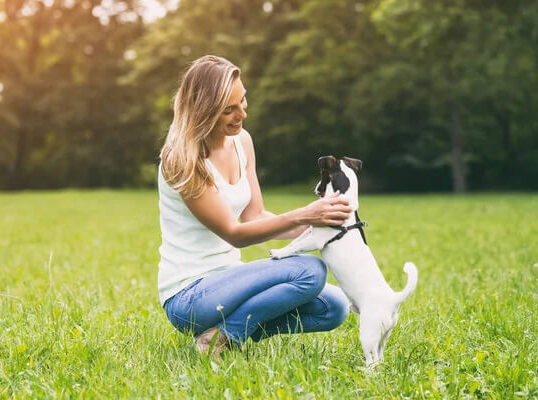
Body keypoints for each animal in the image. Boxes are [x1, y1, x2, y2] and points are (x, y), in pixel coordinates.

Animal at [270, 155, 416, 368]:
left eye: (322, 177)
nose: (315, 188)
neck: (345, 201)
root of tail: (393, 300)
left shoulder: (316, 239)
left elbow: (295, 247)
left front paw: (279, 254)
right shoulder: (310, 231)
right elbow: (295, 241)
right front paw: (280, 250)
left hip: (368, 332)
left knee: (373, 361)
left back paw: (365, 371)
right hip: (383, 335)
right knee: (379, 357)